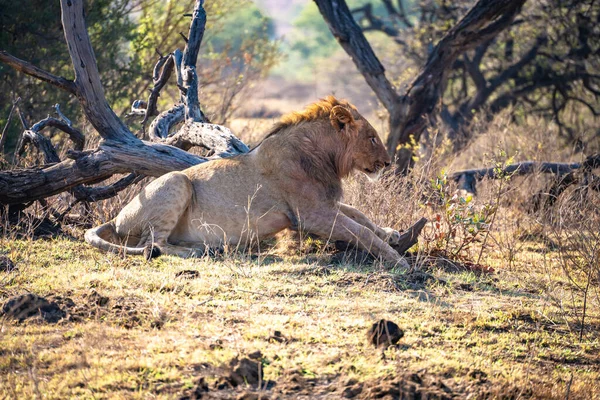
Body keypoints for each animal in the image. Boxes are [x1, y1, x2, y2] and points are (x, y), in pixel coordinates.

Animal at [84, 95, 410, 268]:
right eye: (372, 137)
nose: (388, 163)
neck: (323, 156)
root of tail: (116, 218)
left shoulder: (325, 203)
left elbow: (360, 216)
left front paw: (390, 233)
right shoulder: (310, 214)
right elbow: (359, 230)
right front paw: (397, 259)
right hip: (177, 182)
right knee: (151, 244)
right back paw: (196, 251)